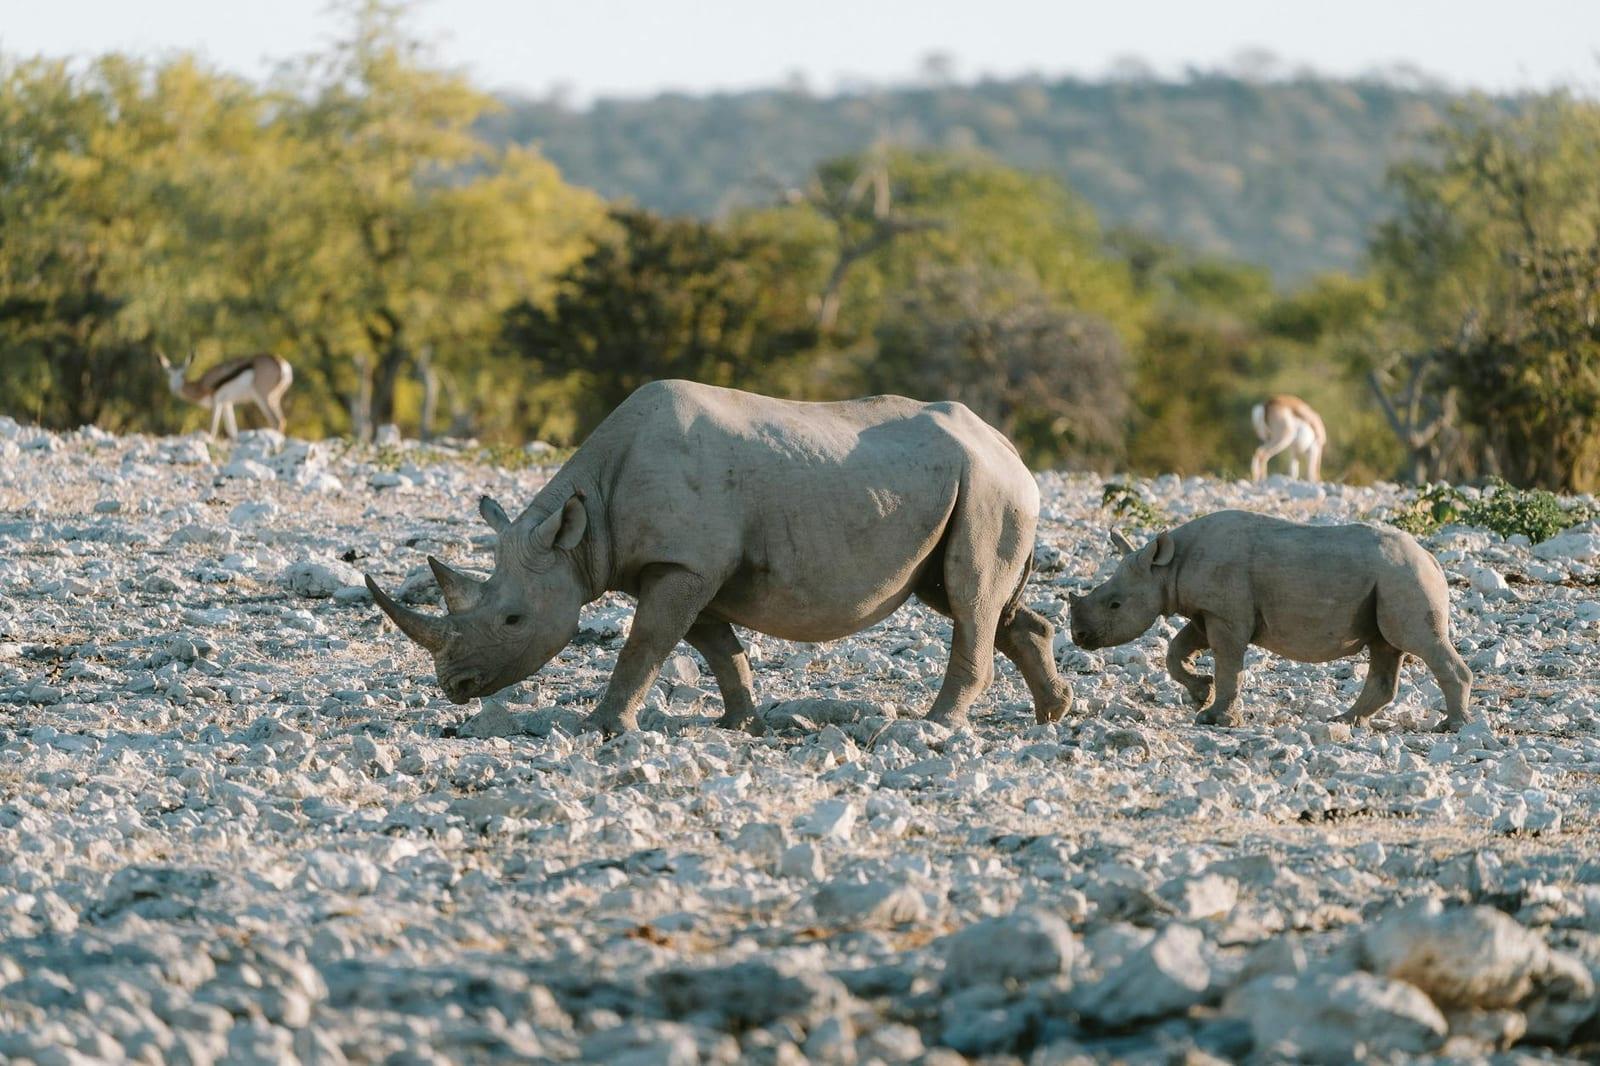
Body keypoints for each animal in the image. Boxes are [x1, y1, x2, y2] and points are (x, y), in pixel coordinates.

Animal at [366, 380, 1074, 736]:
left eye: (512, 621)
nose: (454, 688)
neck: (583, 529)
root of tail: (1009, 448)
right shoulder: (687, 566)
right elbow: (714, 646)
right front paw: (738, 722)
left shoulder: (684, 563)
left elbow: (645, 643)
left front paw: (603, 726)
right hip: (966, 486)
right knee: (967, 596)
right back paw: (1053, 713)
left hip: (988, 488)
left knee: (969, 593)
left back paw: (934, 726)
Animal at [1068, 511, 1474, 731]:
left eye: (1115, 605)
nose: (1079, 636)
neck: (1166, 569)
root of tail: (1431, 558)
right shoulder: (1204, 612)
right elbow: (1176, 651)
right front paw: (1200, 693)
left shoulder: (1226, 615)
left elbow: (1228, 664)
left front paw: (1214, 718)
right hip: (1393, 579)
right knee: (1385, 647)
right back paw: (1344, 721)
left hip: (1403, 577)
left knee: (1417, 641)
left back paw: (1451, 727)